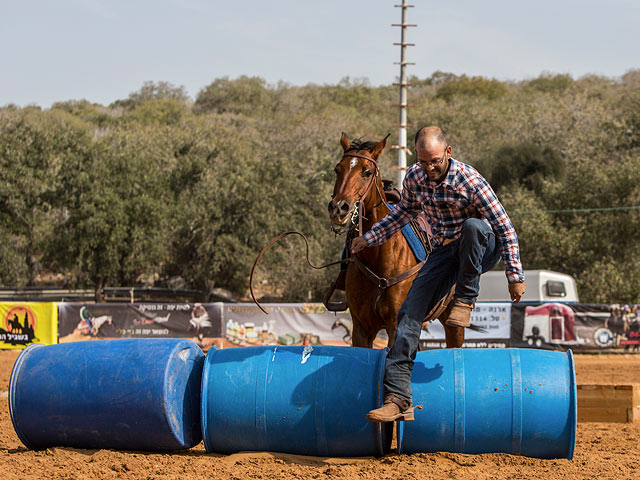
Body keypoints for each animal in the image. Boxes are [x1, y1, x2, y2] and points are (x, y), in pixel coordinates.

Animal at [328, 134, 462, 348]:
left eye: (367, 172)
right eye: (337, 169)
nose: (338, 208)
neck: (379, 255)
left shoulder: (395, 325)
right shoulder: (361, 328)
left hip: (453, 323)